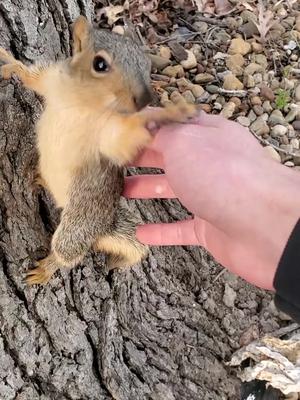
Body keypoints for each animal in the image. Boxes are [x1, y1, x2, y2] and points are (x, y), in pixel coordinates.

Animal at [0, 15, 198, 284]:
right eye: (100, 64)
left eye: (147, 65)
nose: (145, 99)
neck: (84, 102)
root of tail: (103, 228)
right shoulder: (54, 81)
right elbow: (33, 78)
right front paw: (10, 63)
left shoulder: (109, 134)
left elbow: (124, 139)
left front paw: (169, 114)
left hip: (80, 221)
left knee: (69, 252)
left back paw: (48, 267)